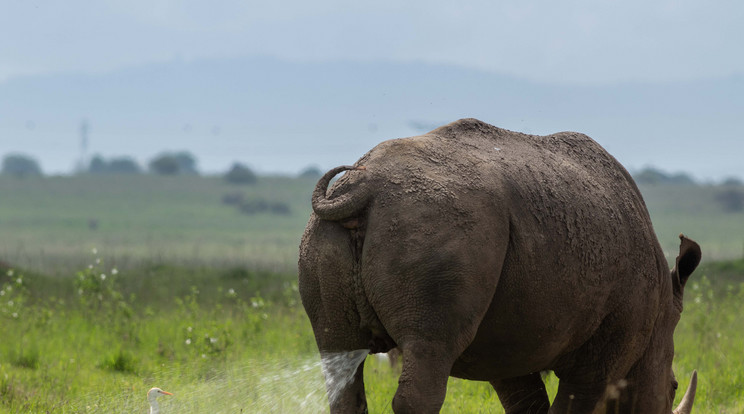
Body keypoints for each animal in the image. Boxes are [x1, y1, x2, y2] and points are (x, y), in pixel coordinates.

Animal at [296, 118, 696, 412]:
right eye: (674, 388)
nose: (672, 387)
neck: (663, 311)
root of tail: (364, 184)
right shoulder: (606, 349)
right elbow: (573, 404)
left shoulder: (511, 340)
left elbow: (528, 404)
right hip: (440, 225)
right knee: (429, 350)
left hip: (327, 235)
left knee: (338, 355)